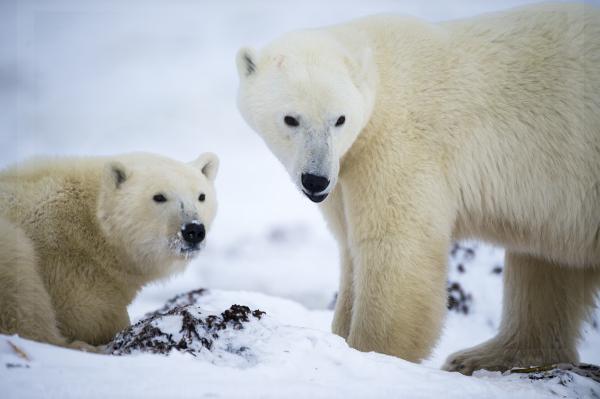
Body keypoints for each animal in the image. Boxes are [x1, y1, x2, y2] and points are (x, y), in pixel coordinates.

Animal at [237, 2, 596, 376]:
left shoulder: (401, 144)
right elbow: (350, 246)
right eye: (291, 119)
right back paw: (487, 356)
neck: (381, 74)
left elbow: (395, 245)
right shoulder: (345, 168)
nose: (316, 180)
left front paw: (371, 352)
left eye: (340, 119)